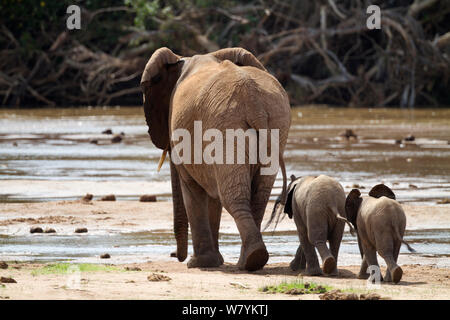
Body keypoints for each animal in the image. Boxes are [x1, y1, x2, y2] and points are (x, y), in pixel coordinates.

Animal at [141, 47, 292, 270]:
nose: (173, 255)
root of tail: (253, 101)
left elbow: (192, 190)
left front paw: (199, 263)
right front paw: (213, 262)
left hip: (225, 128)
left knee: (232, 195)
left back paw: (249, 260)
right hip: (275, 127)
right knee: (257, 196)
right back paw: (251, 260)